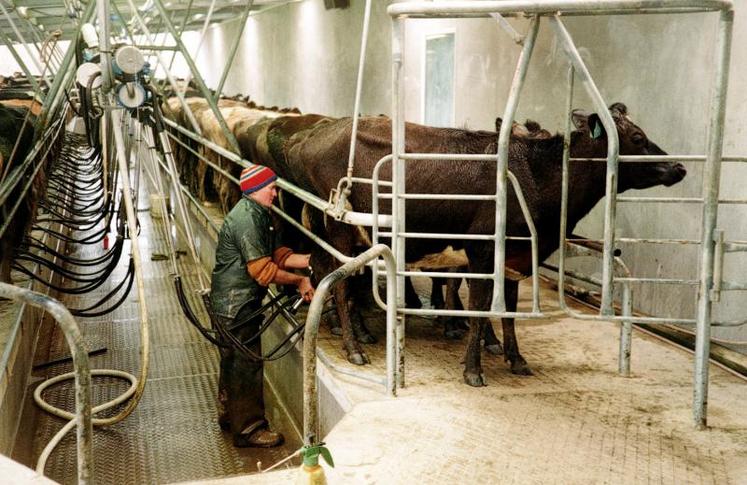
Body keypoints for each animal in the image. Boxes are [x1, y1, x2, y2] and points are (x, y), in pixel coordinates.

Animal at [254, 102, 688, 382]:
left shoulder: (515, 256)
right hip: (341, 228)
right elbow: (480, 307)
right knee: (341, 283)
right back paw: (354, 347)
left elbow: (507, 310)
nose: (679, 167)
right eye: (637, 137)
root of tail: (316, 134)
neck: (536, 177)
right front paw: (474, 368)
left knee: (324, 271)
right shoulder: (482, 251)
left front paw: (515, 358)